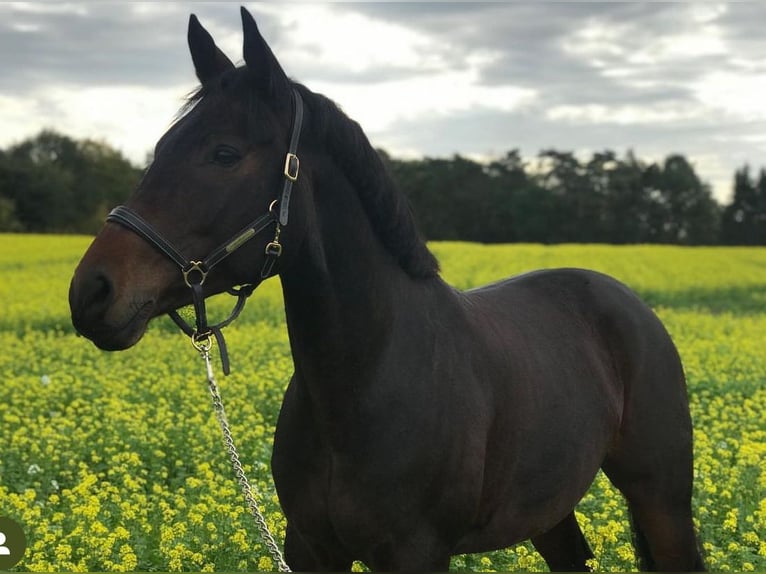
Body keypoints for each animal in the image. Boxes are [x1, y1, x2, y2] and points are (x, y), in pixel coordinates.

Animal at [69, 6, 704, 572]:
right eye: (160, 149)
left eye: (224, 153)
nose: (91, 293)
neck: (365, 380)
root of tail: (627, 302)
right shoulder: (309, 548)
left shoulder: (416, 553)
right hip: (547, 507)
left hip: (662, 497)